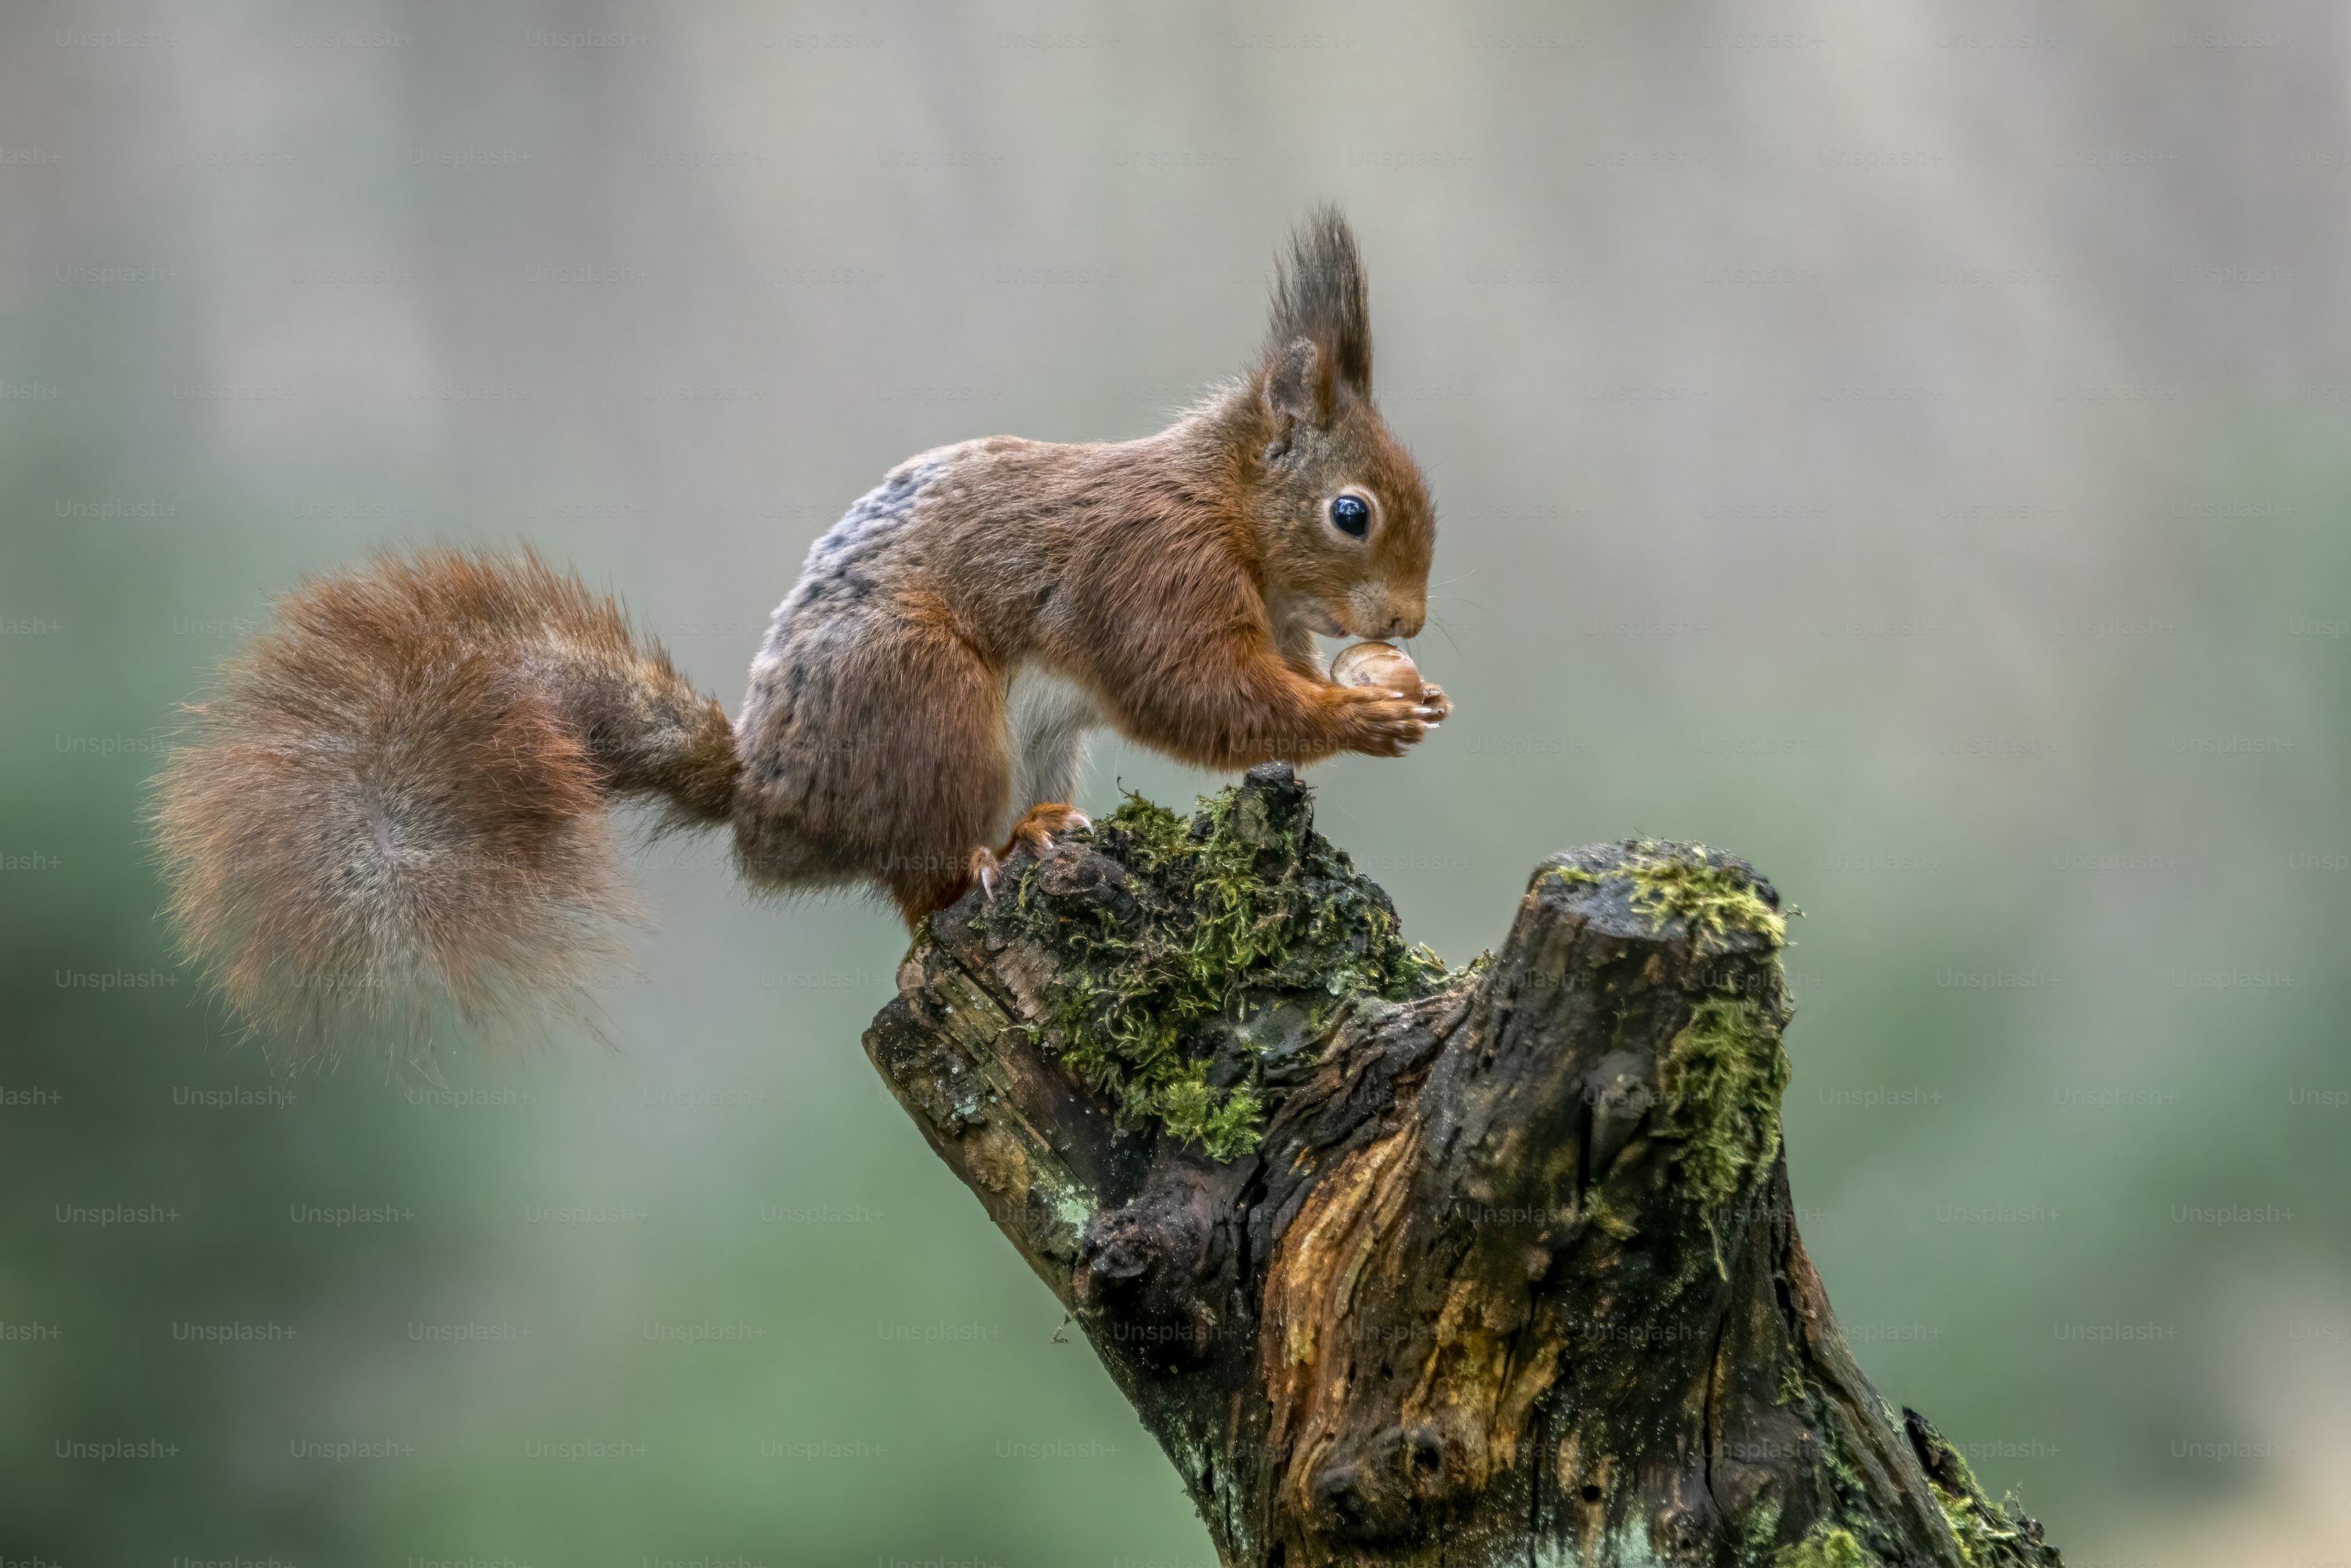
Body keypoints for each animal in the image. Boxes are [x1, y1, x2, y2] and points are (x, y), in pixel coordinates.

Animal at [154, 206, 1450, 1061]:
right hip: (926, 702)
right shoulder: (1149, 574)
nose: (1411, 620)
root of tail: (766, 799)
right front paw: (1360, 710)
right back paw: (997, 855)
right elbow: (1199, 695)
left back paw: (1038, 831)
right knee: (922, 890)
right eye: (1352, 513)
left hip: (1025, 740)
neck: (1225, 505)